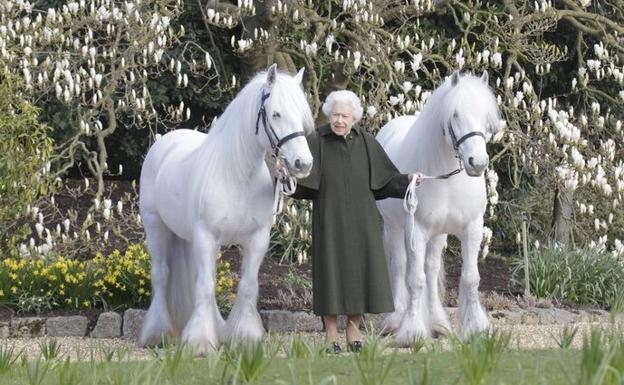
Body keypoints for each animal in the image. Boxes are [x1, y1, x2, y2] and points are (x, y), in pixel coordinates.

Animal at [138, 64, 310, 352]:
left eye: (301, 115)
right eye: (276, 113)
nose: (303, 163)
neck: (237, 175)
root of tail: (166, 141)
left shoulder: (257, 239)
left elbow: (247, 285)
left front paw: (244, 337)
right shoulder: (206, 236)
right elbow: (205, 286)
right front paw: (199, 342)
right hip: (156, 228)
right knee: (161, 275)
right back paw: (157, 333)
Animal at [376, 72, 502, 344]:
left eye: (485, 116)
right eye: (455, 115)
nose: (477, 163)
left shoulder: (472, 228)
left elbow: (470, 278)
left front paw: (477, 328)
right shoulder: (417, 231)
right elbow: (415, 280)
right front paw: (412, 332)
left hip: (438, 234)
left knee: (432, 271)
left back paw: (438, 324)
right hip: (394, 228)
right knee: (400, 267)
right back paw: (395, 321)